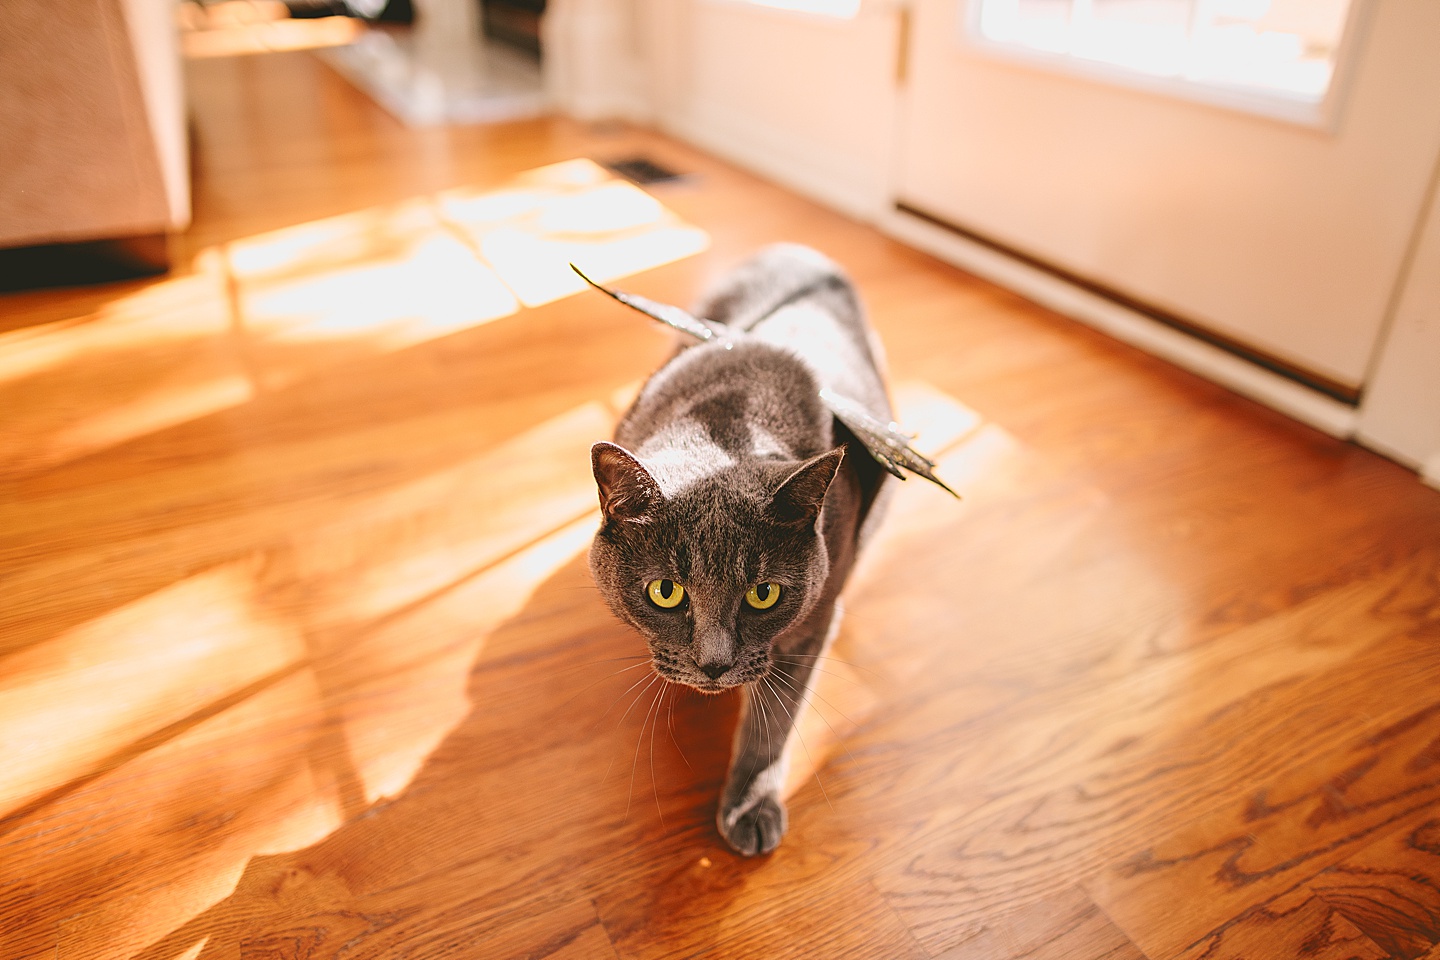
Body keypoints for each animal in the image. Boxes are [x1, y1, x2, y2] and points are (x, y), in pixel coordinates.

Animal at [584, 246, 887, 857]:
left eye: (763, 594)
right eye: (665, 591)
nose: (714, 664)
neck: (730, 423)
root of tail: (802, 250)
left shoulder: (812, 623)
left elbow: (775, 720)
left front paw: (751, 806)